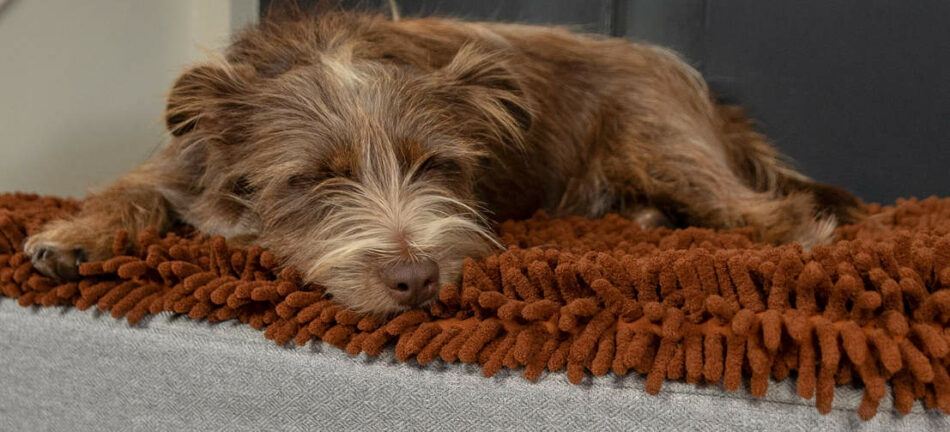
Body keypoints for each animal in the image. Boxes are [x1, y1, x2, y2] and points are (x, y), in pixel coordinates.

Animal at [27, 8, 864, 316]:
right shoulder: (184, 163)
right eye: (318, 178)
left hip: (664, 142)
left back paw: (805, 236)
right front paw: (73, 236)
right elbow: (130, 189)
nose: (415, 279)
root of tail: (710, 101)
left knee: (767, 208)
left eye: (436, 167)